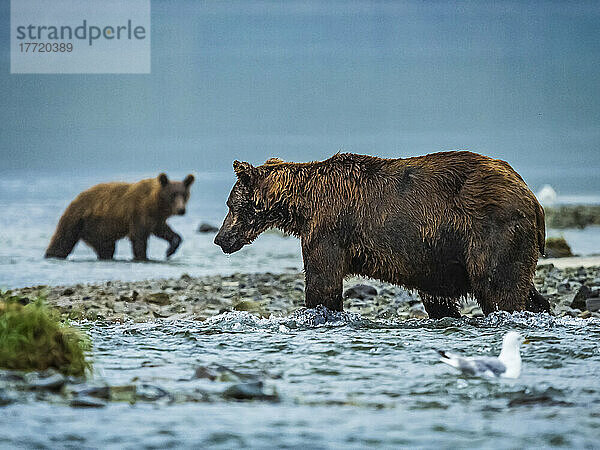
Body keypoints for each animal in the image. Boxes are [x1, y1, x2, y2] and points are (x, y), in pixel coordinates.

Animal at [45, 174, 195, 262]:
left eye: (184, 194)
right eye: (172, 194)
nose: (181, 210)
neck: (155, 204)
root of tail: (73, 201)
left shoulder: (155, 219)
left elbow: (165, 231)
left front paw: (170, 250)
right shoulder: (139, 212)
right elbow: (139, 238)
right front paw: (142, 257)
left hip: (98, 230)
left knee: (106, 248)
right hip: (78, 221)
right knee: (62, 242)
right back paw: (51, 255)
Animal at [214, 153, 548, 318]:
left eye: (230, 204)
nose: (219, 238)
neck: (304, 204)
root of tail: (532, 196)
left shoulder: (329, 229)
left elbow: (323, 283)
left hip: (491, 228)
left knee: (498, 285)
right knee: (524, 288)